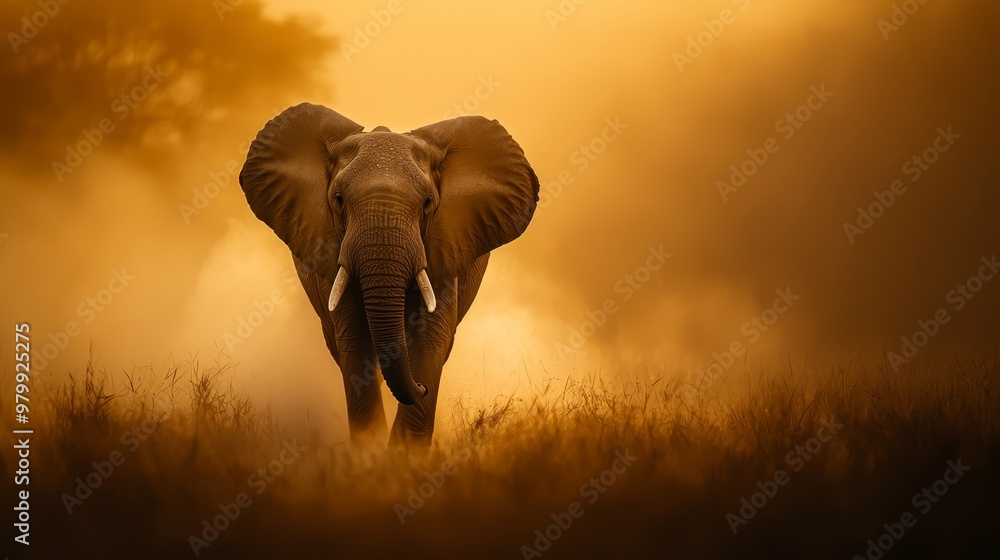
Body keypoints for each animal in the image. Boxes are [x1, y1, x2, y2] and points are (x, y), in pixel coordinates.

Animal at [239, 103, 538, 445]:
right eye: (338, 200)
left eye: (428, 203)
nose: (421, 387)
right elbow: (354, 341)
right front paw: (370, 447)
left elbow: (431, 340)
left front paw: (404, 453)